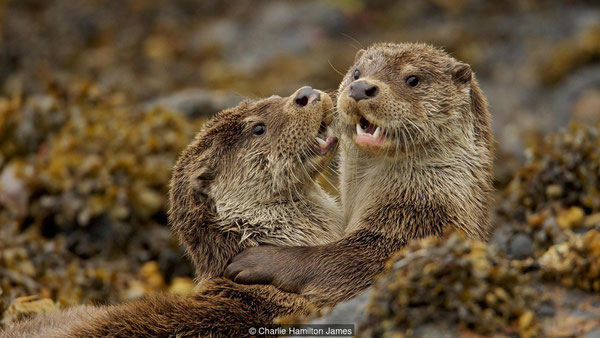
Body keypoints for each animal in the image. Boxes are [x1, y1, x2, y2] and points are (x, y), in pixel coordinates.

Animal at [223, 42, 494, 306]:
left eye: (413, 79)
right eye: (356, 73)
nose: (361, 87)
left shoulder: (420, 225)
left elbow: (343, 263)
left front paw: (260, 260)